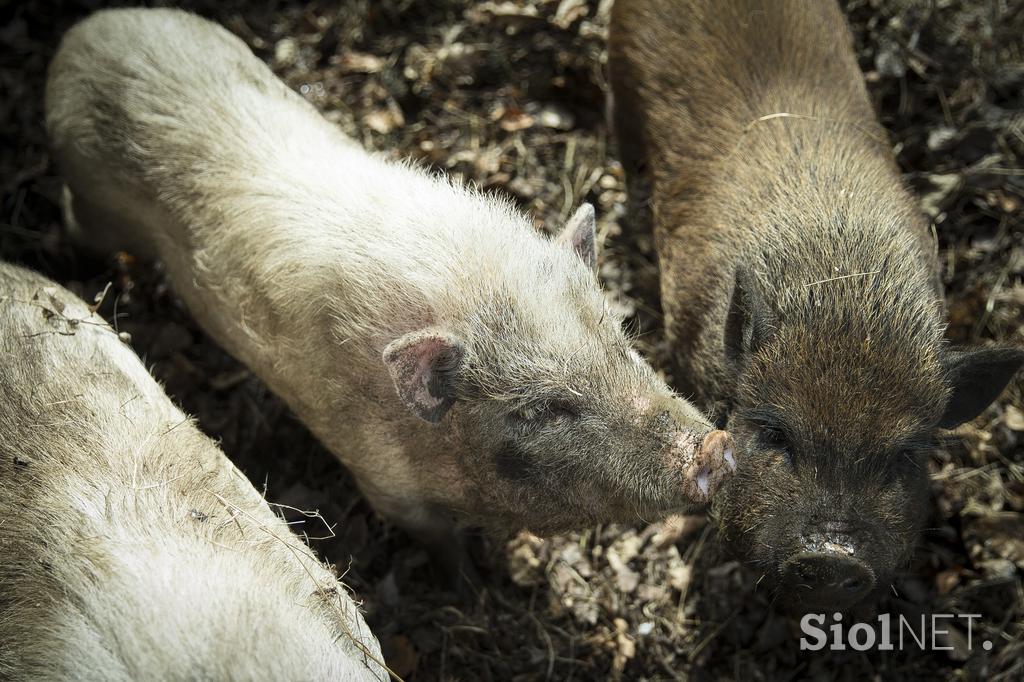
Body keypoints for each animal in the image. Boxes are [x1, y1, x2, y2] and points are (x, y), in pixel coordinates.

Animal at [46, 9, 737, 557]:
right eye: (541, 410)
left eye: (620, 344)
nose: (713, 448)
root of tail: (85, 34)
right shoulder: (383, 484)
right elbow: (436, 539)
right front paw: (469, 576)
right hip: (93, 198)